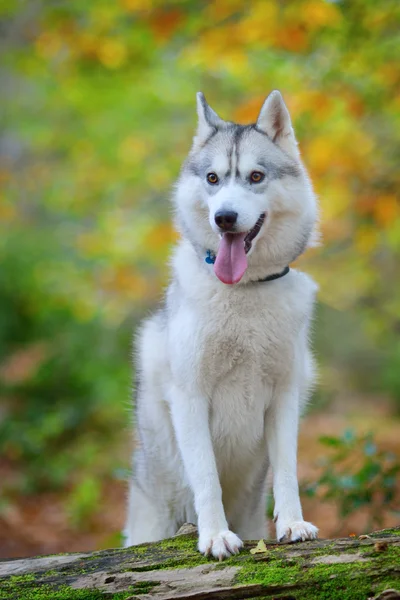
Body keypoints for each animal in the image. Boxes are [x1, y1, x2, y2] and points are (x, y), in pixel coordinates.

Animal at [125, 89, 318, 556]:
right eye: (213, 179)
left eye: (255, 176)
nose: (225, 218)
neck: (243, 292)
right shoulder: (190, 398)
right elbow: (207, 478)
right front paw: (213, 535)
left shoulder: (284, 397)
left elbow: (288, 472)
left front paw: (292, 524)